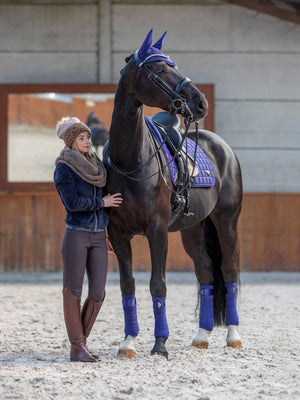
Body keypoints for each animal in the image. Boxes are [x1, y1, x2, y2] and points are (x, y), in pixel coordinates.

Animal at [104, 29, 243, 358]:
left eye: (173, 64)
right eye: (158, 68)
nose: (200, 102)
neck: (131, 161)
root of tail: (223, 148)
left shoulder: (157, 231)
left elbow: (158, 284)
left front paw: (160, 344)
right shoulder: (117, 234)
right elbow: (128, 286)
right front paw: (128, 342)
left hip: (227, 222)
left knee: (229, 270)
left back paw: (232, 336)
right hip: (192, 228)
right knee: (205, 271)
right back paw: (202, 335)